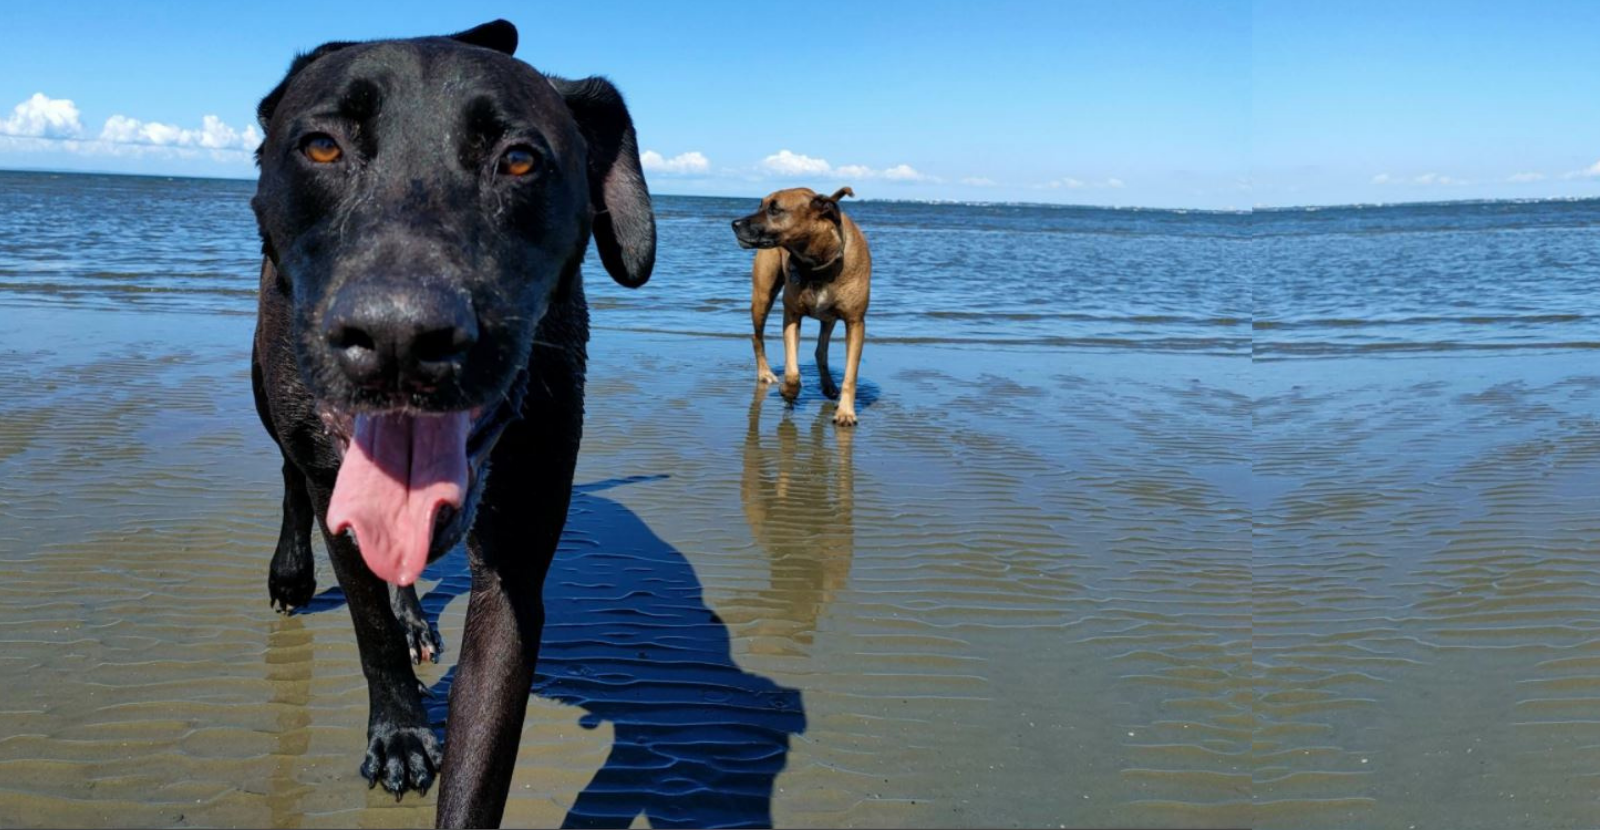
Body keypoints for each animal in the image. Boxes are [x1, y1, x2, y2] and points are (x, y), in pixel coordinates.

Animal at [249, 21, 649, 830]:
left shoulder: (516, 564)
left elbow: (480, 761)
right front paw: (401, 733)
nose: (399, 336)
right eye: (321, 147)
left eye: (519, 159)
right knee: (289, 476)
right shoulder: (332, 482)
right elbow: (368, 623)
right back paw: (291, 572)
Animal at [732, 186, 870, 425]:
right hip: (762, 296)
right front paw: (788, 391)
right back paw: (765, 373)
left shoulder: (855, 322)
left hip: (828, 319)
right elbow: (792, 371)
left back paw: (828, 385)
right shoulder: (792, 315)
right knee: (757, 337)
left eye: (775, 209)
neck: (816, 263)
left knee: (820, 351)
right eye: (760, 205)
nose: (735, 223)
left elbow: (850, 374)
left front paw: (845, 411)